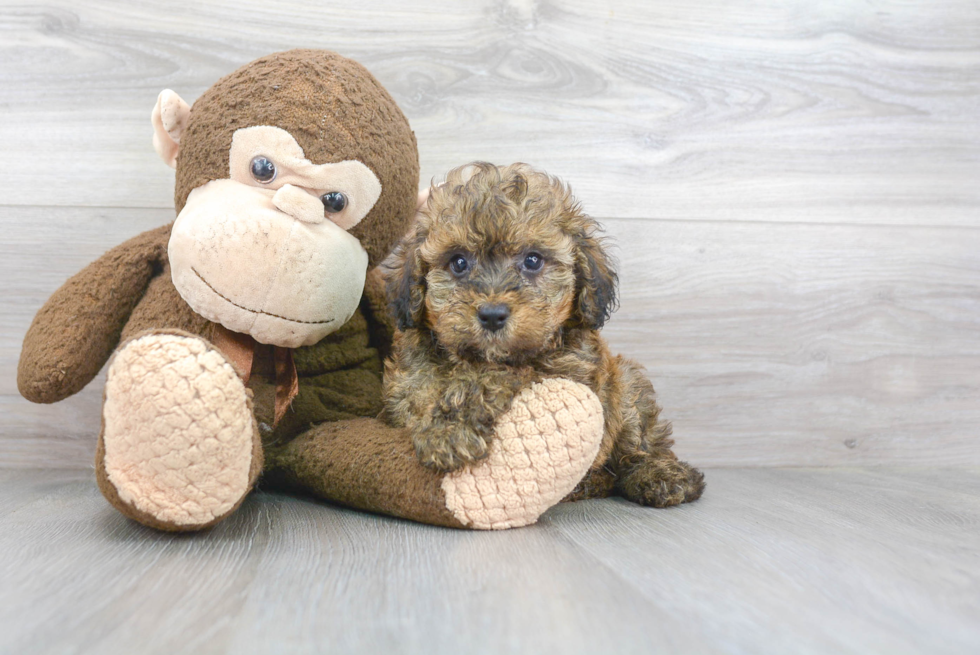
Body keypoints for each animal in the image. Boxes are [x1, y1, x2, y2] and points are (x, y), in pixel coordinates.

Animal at [382, 163, 704, 508]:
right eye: (458, 262)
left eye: (533, 260)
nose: (492, 314)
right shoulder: (408, 377)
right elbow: (421, 390)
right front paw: (446, 427)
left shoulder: (567, 374)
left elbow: (498, 375)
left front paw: (452, 425)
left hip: (629, 388)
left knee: (640, 445)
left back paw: (660, 475)